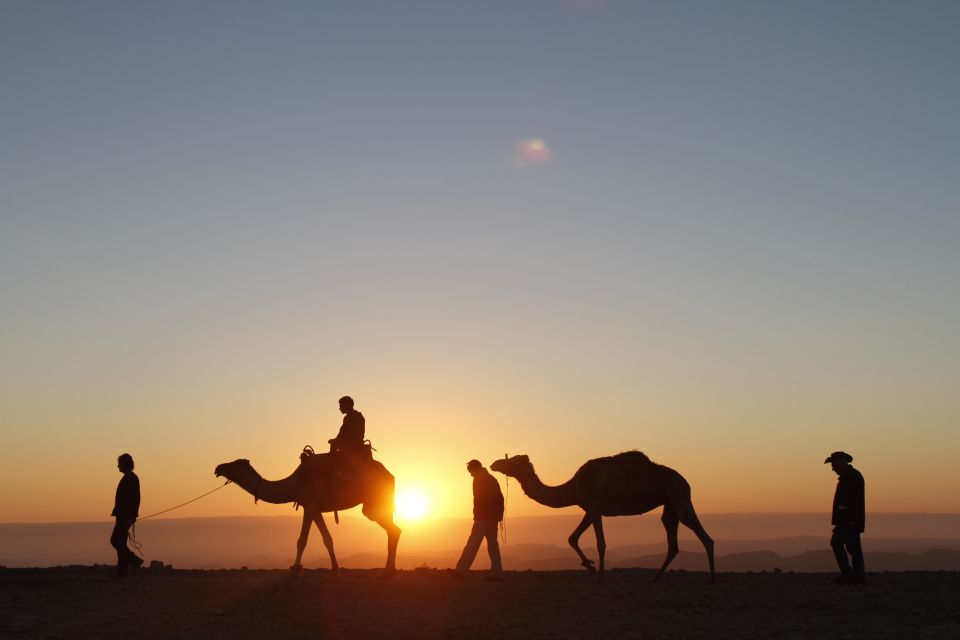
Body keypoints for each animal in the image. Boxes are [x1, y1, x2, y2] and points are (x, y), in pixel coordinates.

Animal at [214, 456, 400, 578]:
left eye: (234, 465)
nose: (218, 468)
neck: (294, 484)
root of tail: (390, 475)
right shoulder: (308, 507)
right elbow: (302, 540)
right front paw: (296, 568)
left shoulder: (312, 505)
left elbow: (325, 538)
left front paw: (335, 571)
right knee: (394, 530)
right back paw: (388, 571)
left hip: (373, 504)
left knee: (392, 529)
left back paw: (387, 572)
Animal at [491, 451, 714, 582]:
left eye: (513, 460)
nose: (494, 463)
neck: (574, 487)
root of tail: (686, 481)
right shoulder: (590, 510)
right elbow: (572, 538)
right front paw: (589, 567)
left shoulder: (595, 507)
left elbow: (600, 543)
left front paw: (599, 574)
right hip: (669, 505)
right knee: (672, 540)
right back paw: (656, 578)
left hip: (679, 496)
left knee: (705, 537)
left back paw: (712, 578)